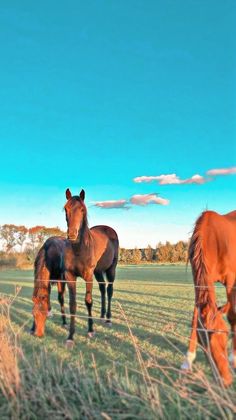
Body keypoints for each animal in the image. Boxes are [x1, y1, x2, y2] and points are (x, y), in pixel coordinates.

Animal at [32, 189, 119, 342]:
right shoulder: (67, 276)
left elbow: (88, 301)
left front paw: (90, 330)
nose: (72, 234)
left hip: (111, 269)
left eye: (82, 209)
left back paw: (108, 319)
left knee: (109, 290)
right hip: (98, 271)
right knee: (103, 288)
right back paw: (102, 316)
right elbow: (71, 303)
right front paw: (70, 335)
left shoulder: (87, 276)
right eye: (66, 209)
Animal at [182, 210, 235, 388]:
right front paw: (188, 359)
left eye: (225, 336)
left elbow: (232, 316)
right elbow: (195, 319)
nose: (226, 381)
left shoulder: (231, 281)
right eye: (206, 345)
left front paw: (233, 357)